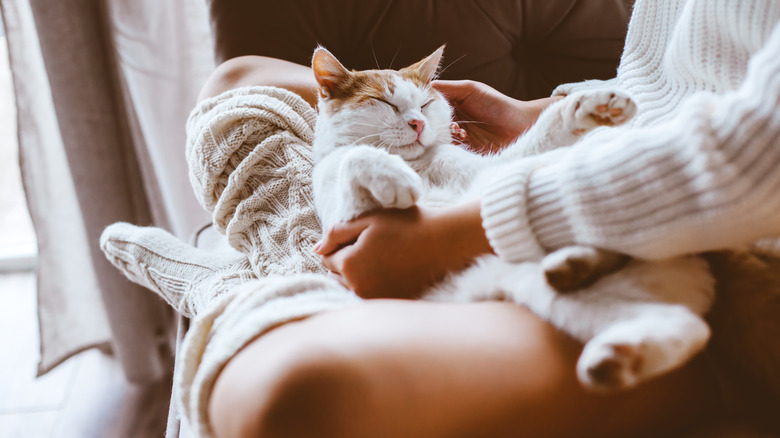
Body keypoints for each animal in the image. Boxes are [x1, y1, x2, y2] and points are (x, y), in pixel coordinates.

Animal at [310, 46, 712, 392]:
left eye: (425, 103)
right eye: (384, 102)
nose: (418, 124)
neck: (419, 165)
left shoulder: (495, 171)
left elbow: (539, 138)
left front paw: (585, 106)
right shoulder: (344, 222)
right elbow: (355, 156)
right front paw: (392, 177)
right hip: (543, 292)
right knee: (685, 326)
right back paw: (608, 343)